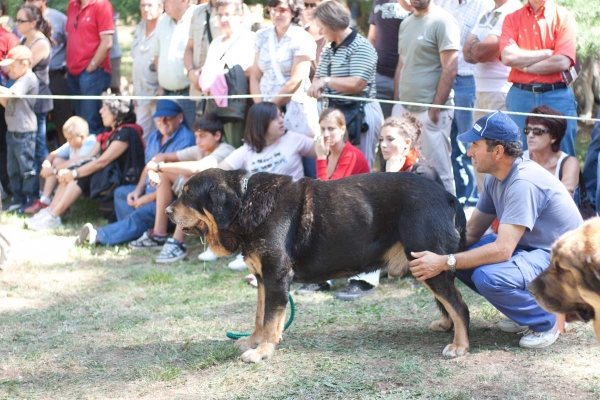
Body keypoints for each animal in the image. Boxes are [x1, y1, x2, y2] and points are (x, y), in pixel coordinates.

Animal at [166, 169, 472, 362]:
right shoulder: (264, 278)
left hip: (427, 261)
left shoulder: (275, 275)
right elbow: (262, 316)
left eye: (189, 195)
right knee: (448, 302)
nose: (168, 211)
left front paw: (262, 351)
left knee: (459, 305)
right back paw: (447, 326)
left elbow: (269, 318)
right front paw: (256, 341)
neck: (245, 204)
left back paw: (460, 345)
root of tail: (449, 197)